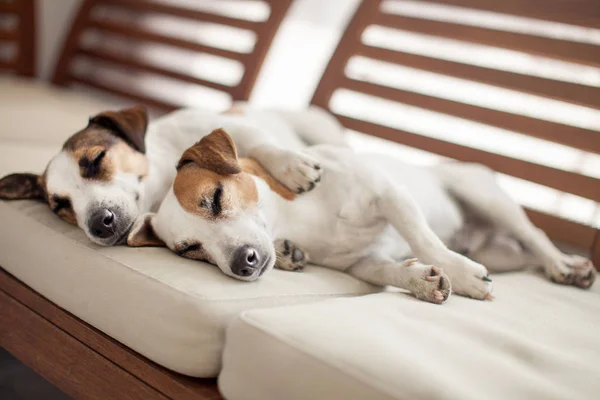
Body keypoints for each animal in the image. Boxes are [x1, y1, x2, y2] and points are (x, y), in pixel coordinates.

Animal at [0, 104, 346, 245]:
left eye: (96, 159)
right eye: (60, 206)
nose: (98, 223)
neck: (163, 180)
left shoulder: (230, 128)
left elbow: (260, 143)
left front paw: (293, 166)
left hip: (319, 127)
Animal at [126, 129, 596, 304]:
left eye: (215, 198)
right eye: (190, 250)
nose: (243, 263)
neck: (296, 221)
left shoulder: (390, 196)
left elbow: (424, 238)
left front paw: (462, 275)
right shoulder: (360, 263)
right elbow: (389, 270)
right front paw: (422, 280)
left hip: (484, 195)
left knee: (535, 235)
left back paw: (563, 264)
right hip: (505, 254)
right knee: (526, 255)